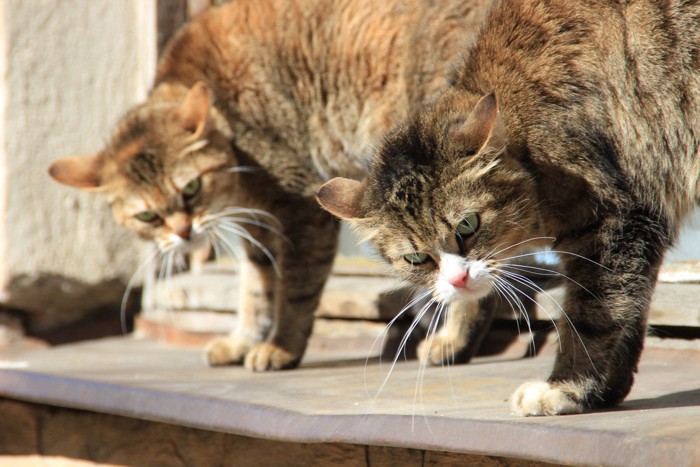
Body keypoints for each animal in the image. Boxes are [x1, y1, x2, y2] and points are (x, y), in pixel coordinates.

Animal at [47, 0, 492, 372]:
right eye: (146, 216)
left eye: (190, 189)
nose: (184, 232)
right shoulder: (255, 225)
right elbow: (255, 288)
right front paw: (242, 340)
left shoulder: (303, 209)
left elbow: (292, 291)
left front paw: (280, 346)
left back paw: (453, 340)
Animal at [318, 0, 700, 416]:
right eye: (416, 258)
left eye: (467, 225)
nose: (458, 280)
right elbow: (630, 310)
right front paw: (605, 392)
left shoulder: (617, 220)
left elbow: (596, 313)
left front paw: (567, 387)